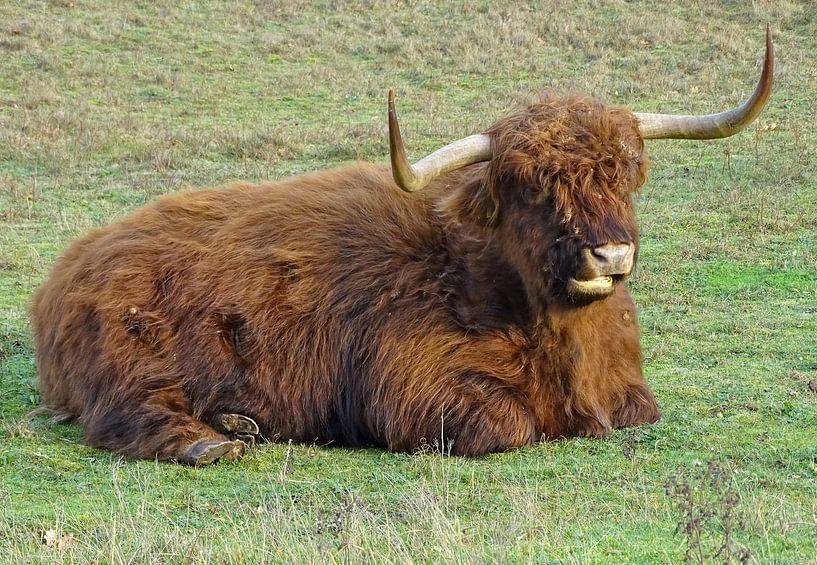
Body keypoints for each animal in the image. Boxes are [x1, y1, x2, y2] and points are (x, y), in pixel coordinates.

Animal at [30, 29, 772, 462]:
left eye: (624, 174)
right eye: (532, 187)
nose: (609, 255)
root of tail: (71, 265)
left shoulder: (629, 393)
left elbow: (639, 412)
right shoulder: (414, 387)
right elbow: (507, 423)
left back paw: (238, 421)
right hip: (131, 353)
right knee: (127, 412)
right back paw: (212, 444)